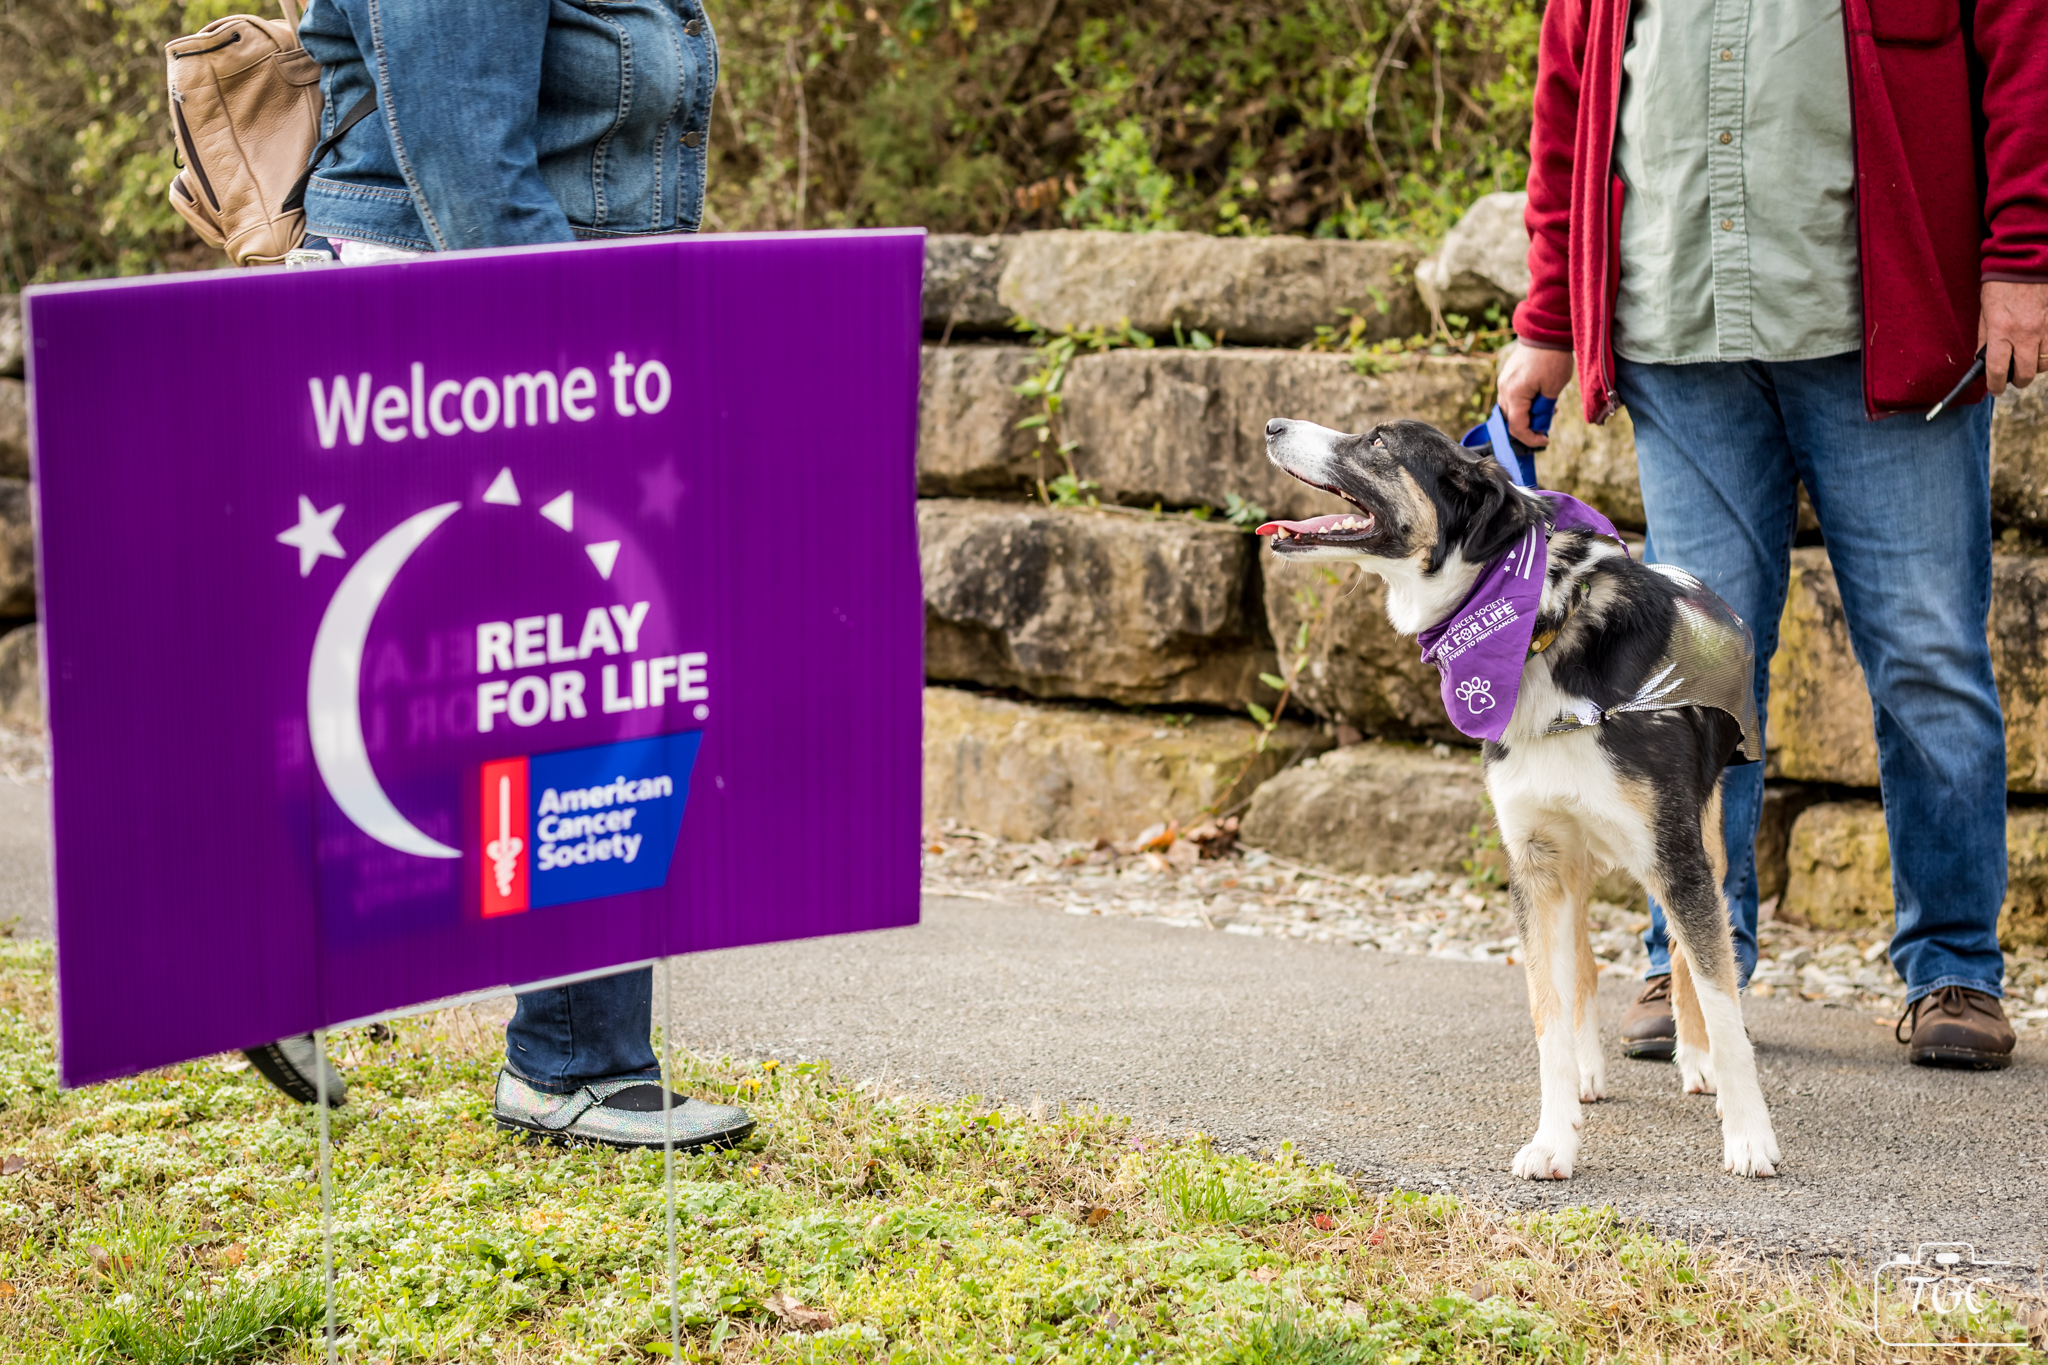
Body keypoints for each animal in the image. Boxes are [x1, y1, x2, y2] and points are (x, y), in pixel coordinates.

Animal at [1259, 416, 1780, 1180]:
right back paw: (1592, 1071)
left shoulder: (1676, 853)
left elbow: (1722, 1000)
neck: (1537, 629)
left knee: (1688, 958)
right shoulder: (1533, 861)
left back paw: (1697, 1061)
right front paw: (1555, 1138)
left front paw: (1748, 1136)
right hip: (1571, 860)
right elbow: (1547, 1014)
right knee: (1582, 964)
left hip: (1704, 838)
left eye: (1379, 442)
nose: (1271, 425)